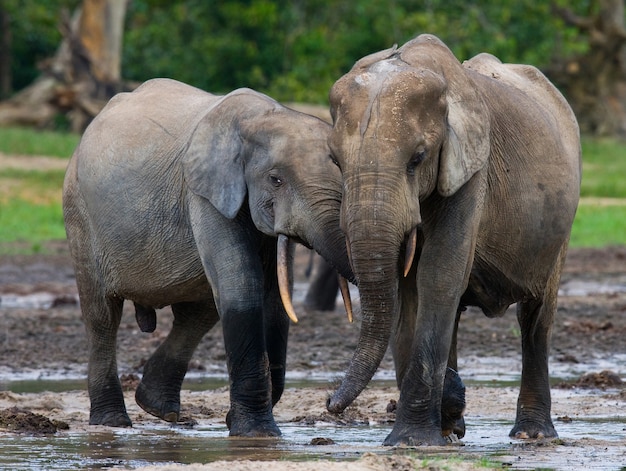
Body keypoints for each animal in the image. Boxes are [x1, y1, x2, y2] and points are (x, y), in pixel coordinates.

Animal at [64, 78, 356, 438]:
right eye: (276, 180)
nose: (331, 402)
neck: (262, 118)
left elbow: (274, 300)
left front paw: (240, 424)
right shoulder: (205, 193)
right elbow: (242, 287)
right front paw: (255, 434)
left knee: (199, 313)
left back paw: (157, 408)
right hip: (78, 212)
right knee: (102, 317)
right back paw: (112, 421)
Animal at [322, 34, 580, 446]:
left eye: (418, 158)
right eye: (334, 161)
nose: (329, 403)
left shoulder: (472, 169)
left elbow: (438, 273)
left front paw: (412, 439)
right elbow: (408, 290)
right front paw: (441, 419)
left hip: (561, 227)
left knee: (536, 317)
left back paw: (532, 435)